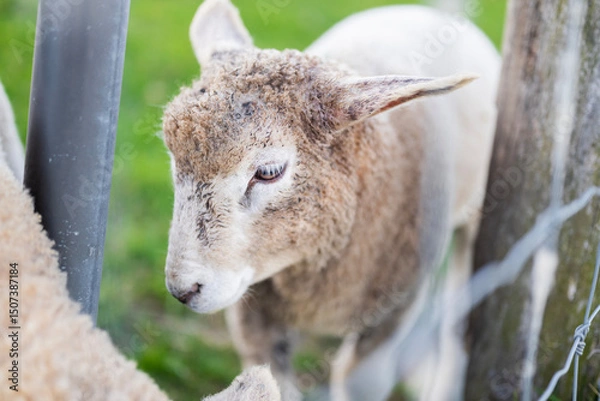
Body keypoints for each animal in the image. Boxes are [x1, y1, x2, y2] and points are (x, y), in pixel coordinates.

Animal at [162, 0, 500, 399]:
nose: (182, 291)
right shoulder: (255, 317)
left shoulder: (391, 315)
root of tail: (432, 12)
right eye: (173, 158)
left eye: (269, 171)